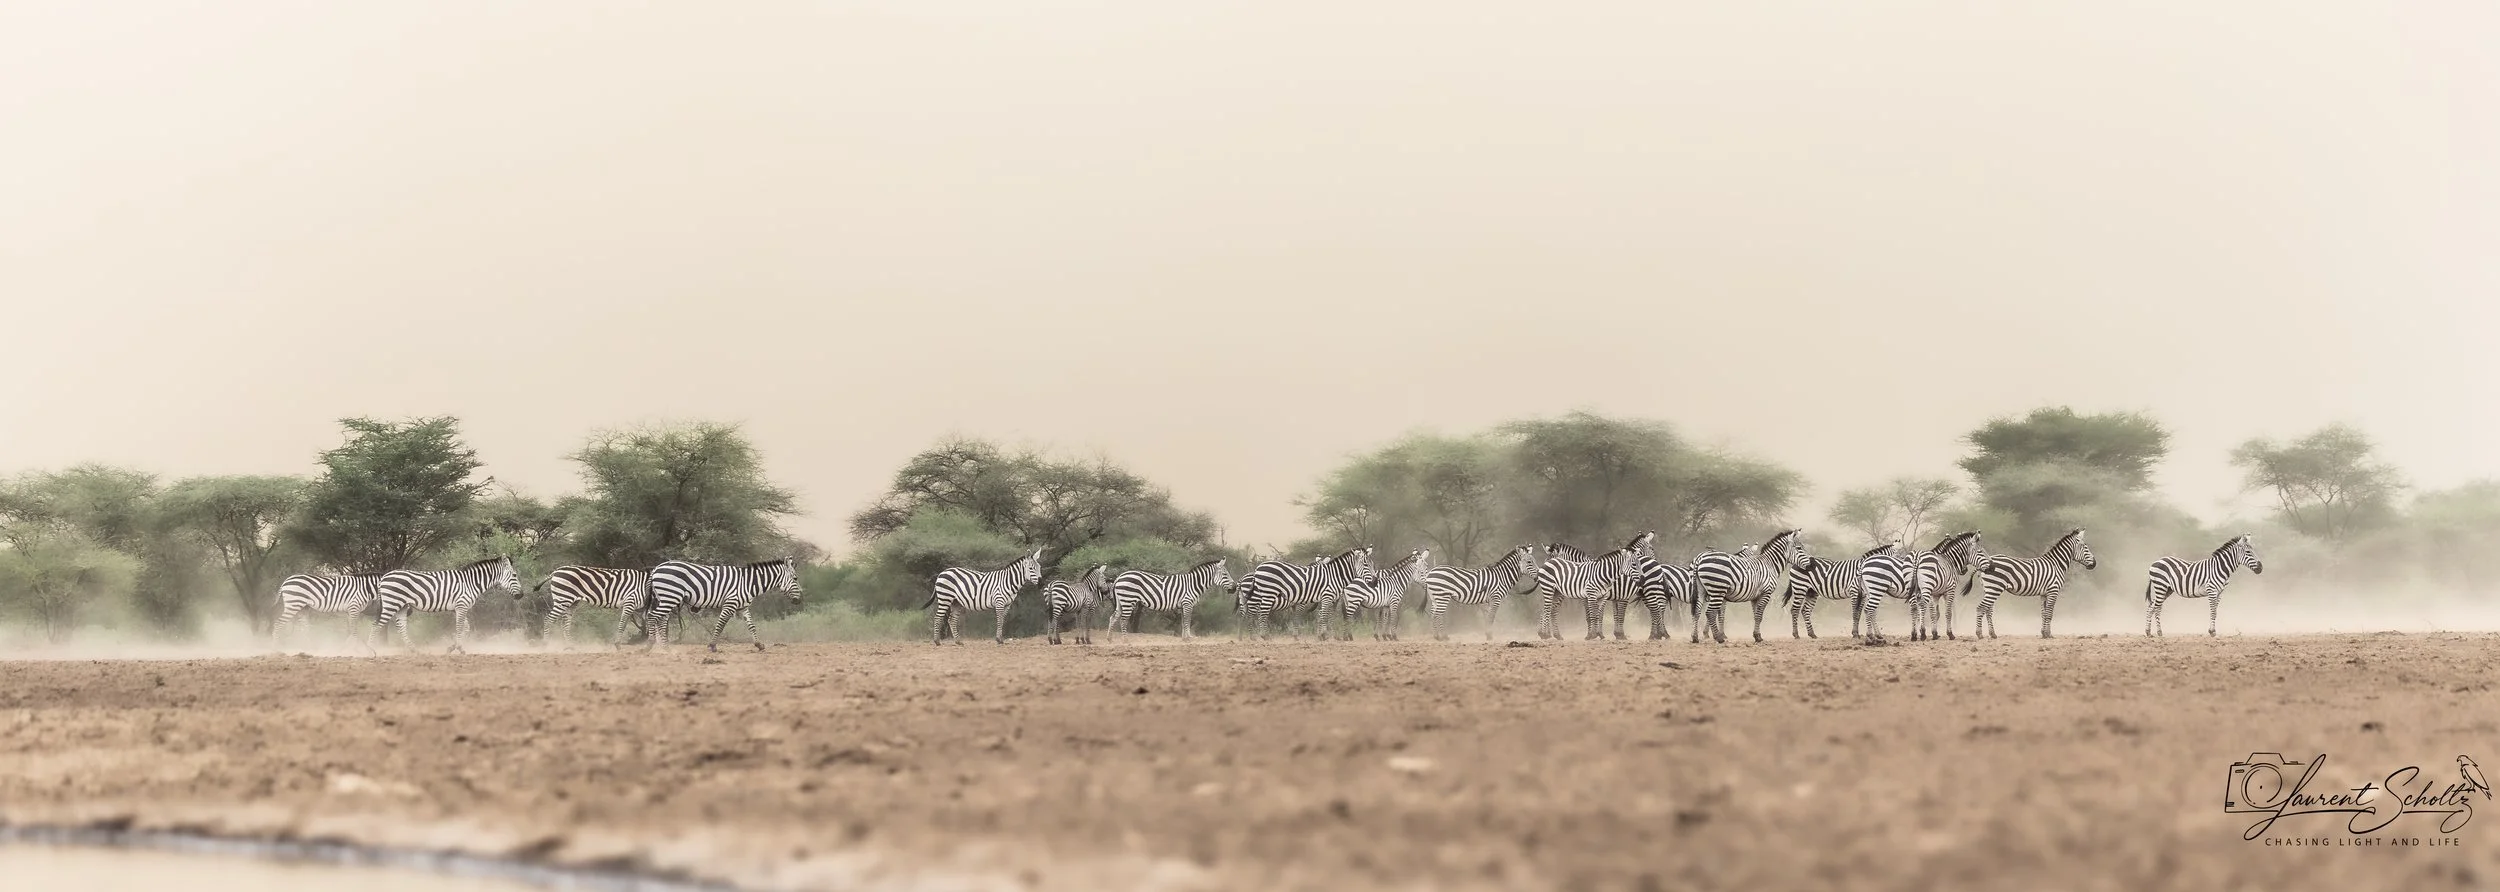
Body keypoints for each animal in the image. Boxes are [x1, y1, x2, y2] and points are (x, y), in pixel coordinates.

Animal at [372, 556, 522, 654]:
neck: (471, 582)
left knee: (400, 626)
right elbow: (459, 627)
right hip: (392, 603)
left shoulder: (457, 608)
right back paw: (370, 650)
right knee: (376, 625)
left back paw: (414, 650)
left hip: (402, 605)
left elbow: (466, 628)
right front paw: (459, 649)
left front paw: (452, 647)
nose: (521, 595)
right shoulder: (461, 605)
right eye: (514, 575)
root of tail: (384, 577)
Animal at [644, 557, 804, 652]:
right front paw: (712, 646)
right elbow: (720, 624)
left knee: (661, 619)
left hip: (666, 598)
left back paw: (666, 648)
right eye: (795, 578)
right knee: (652, 616)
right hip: (670, 596)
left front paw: (759, 645)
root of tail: (656, 568)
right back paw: (650, 644)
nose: (800, 600)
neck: (748, 583)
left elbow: (751, 625)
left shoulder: (743, 606)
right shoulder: (730, 603)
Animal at [1235, 547, 1375, 640]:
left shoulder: (1327, 599)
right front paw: (1322, 635)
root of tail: (1257, 568)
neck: (1335, 576)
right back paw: (1263, 636)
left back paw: (1248, 637)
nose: (1375, 582)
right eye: (1366, 565)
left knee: (1248, 615)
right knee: (1259, 614)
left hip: (1255, 598)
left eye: (1372, 564)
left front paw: (1327, 636)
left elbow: (1326, 616)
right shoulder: (1323, 597)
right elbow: (1321, 616)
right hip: (1265, 594)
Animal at [1962, 528, 2096, 639]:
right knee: (1981, 608)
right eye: (2085, 547)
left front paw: (2044, 633)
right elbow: (2050, 613)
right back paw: (1979, 634)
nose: (2095, 564)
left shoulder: (2044, 593)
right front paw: (2049, 635)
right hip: (1994, 588)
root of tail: (1983, 564)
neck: (2056, 565)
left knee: (1988, 610)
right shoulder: (2053, 590)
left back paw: (1993, 634)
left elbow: (2043, 613)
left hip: (1989, 589)